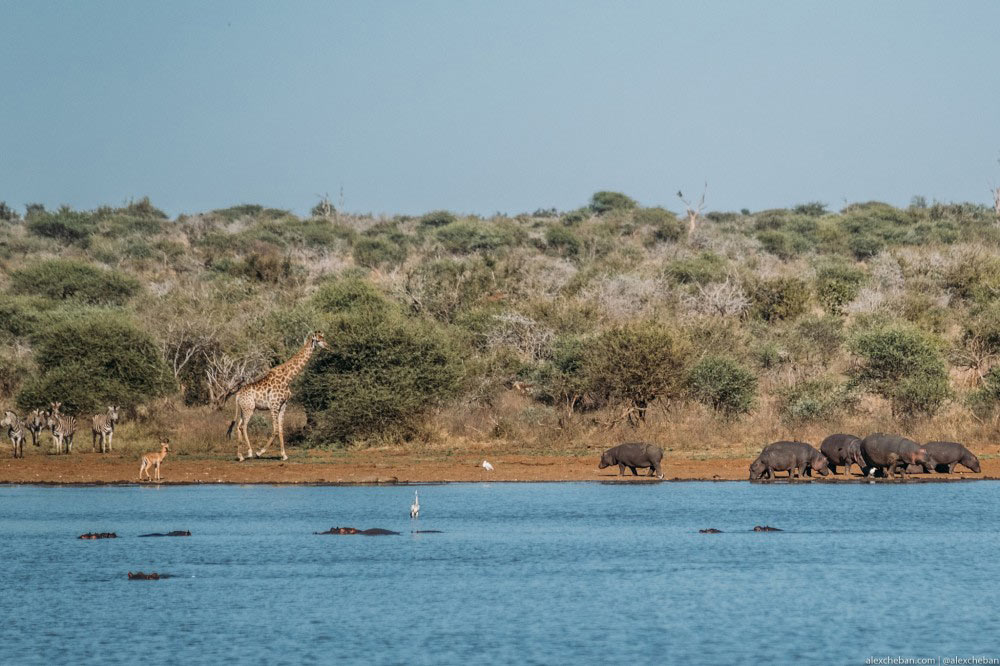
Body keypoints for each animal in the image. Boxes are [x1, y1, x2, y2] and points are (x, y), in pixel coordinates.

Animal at [227, 330, 328, 460]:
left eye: (324, 338)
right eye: (319, 340)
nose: (327, 346)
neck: (288, 378)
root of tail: (238, 395)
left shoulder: (283, 405)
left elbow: (280, 429)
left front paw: (284, 455)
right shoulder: (274, 405)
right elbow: (275, 429)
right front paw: (260, 452)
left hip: (244, 409)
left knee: (239, 426)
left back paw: (240, 456)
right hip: (249, 408)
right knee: (243, 426)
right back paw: (249, 452)